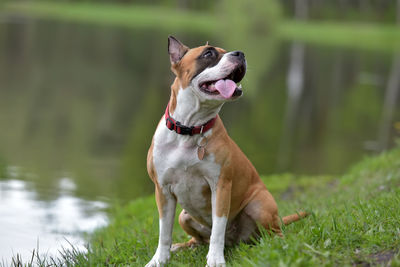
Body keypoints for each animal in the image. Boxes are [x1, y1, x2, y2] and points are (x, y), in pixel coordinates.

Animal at [145, 36, 308, 267]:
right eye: (209, 53)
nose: (240, 53)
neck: (190, 129)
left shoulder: (220, 186)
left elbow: (218, 229)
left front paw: (215, 259)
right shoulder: (163, 190)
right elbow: (164, 232)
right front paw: (159, 259)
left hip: (259, 205)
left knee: (274, 232)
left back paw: (276, 242)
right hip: (184, 216)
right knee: (198, 239)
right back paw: (183, 246)